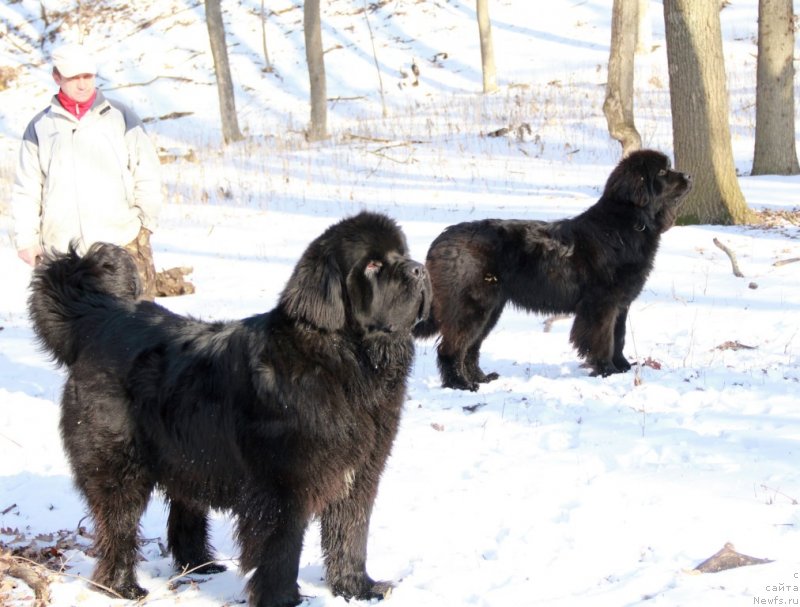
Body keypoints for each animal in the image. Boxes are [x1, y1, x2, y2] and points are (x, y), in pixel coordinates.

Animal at [26, 211, 432, 604]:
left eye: (402, 254)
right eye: (373, 265)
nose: (419, 269)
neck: (344, 360)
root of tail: (101, 318)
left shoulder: (360, 472)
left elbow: (351, 533)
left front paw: (357, 588)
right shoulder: (282, 487)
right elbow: (280, 549)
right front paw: (282, 599)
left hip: (190, 454)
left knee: (184, 511)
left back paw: (200, 565)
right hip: (119, 462)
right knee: (118, 524)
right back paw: (122, 587)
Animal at [416, 150, 692, 392]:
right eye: (663, 171)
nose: (689, 175)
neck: (627, 224)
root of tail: (439, 241)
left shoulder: (621, 304)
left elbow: (619, 336)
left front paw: (623, 367)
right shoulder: (601, 304)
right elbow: (603, 339)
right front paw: (606, 370)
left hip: (491, 309)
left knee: (471, 347)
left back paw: (481, 378)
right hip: (471, 307)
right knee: (452, 348)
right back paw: (461, 385)